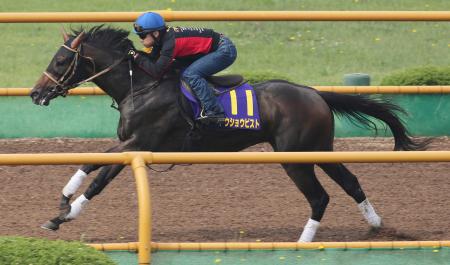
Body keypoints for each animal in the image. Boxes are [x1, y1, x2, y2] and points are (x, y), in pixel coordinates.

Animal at [29, 26, 428, 241]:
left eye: (61, 61)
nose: (35, 93)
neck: (139, 86)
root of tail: (314, 93)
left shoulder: (140, 143)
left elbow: (100, 179)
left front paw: (67, 214)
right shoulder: (129, 144)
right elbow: (89, 163)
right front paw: (63, 200)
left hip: (296, 157)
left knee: (320, 197)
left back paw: (302, 244)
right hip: (319, 149)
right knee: (351, 183)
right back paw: (377, 226)